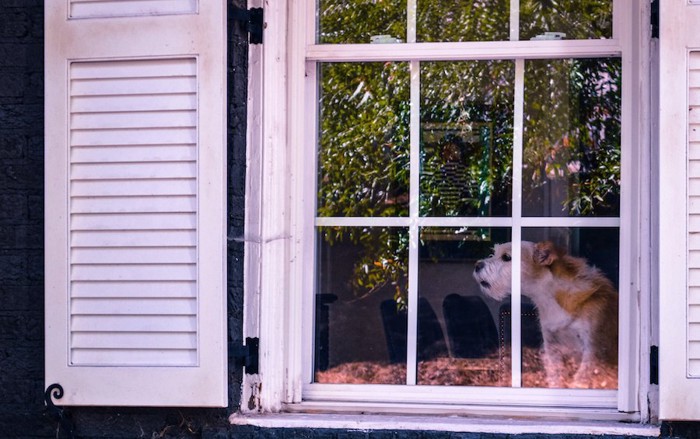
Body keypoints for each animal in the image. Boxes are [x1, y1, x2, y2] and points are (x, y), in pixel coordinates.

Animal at [470, 242, 616, 390]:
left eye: (506, 257)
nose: (477, 265)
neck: (549, 298)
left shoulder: (593, 350)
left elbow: (580, 380)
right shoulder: (552, 349)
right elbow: (557, 379)